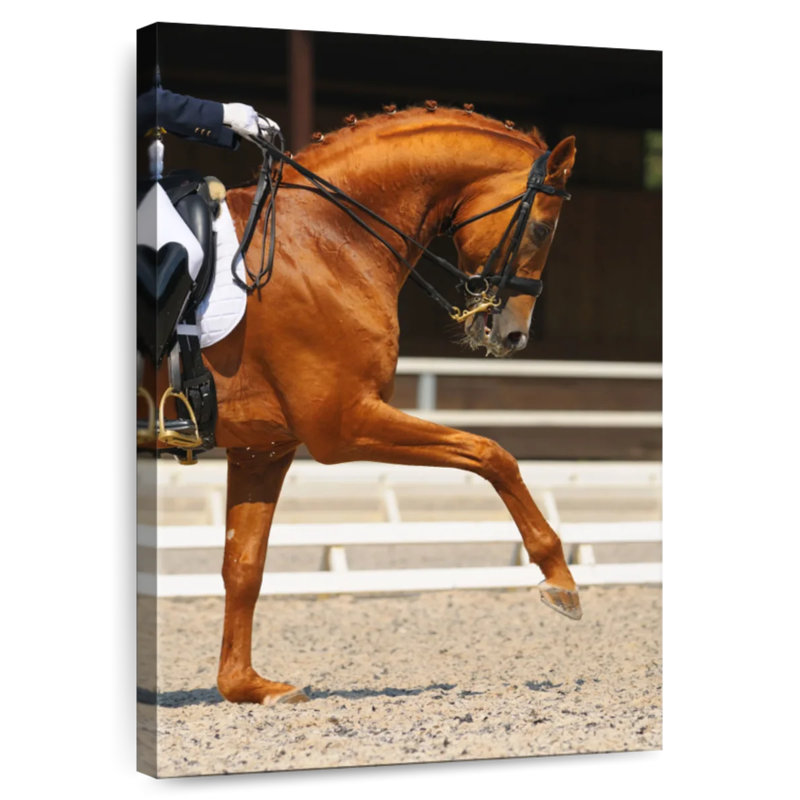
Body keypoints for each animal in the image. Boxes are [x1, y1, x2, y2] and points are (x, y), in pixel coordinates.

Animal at [166, 106, 579, 705]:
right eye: (543, 228)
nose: (513, 335)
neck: (324, 239)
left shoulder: (263, 449)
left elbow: (243, 564)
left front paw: (246, 686)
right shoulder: (344, 425)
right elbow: (490, 453)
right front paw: (559, 578)